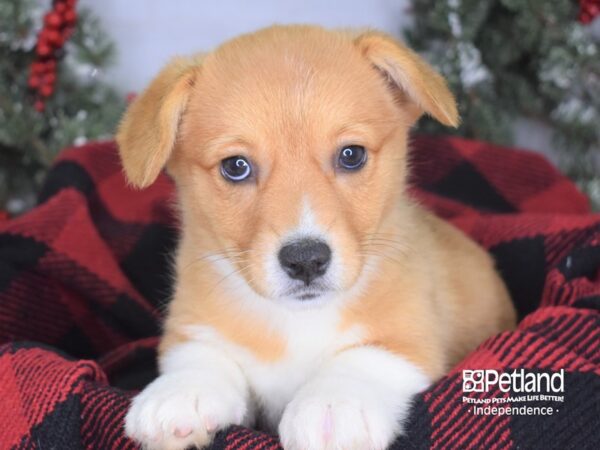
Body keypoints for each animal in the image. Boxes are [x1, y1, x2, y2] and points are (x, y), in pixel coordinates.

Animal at [117, 25, 516, 450]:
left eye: (351, 155)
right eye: (236, 166)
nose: (306, 260)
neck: (297, 321)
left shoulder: (409, 335)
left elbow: (363, 358)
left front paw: (334, 404)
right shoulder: (192, 322)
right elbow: (201, 354)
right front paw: (182, 393)